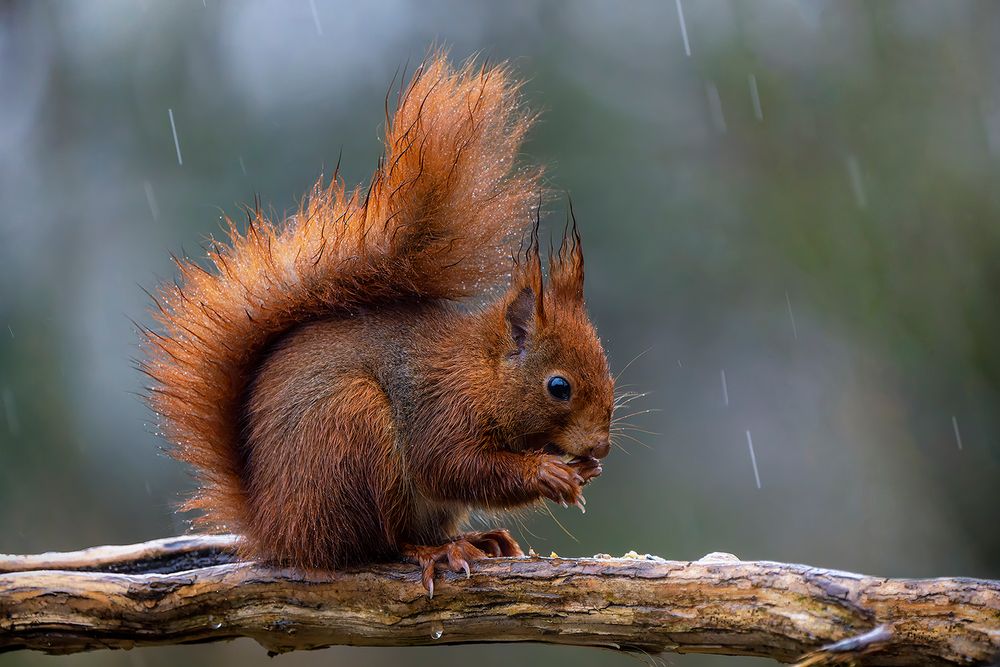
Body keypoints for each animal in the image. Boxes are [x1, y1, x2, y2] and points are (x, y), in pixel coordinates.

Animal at [139, 53, 608, 596]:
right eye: (559, 387)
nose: (601, 445)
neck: (482, 371)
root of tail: (274, 527)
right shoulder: (443, 408)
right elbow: (453, 467)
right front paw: (550, 473)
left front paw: (585, 469)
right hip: (353, 431)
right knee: (379, 544)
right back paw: (435, 551)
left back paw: (478, 540)